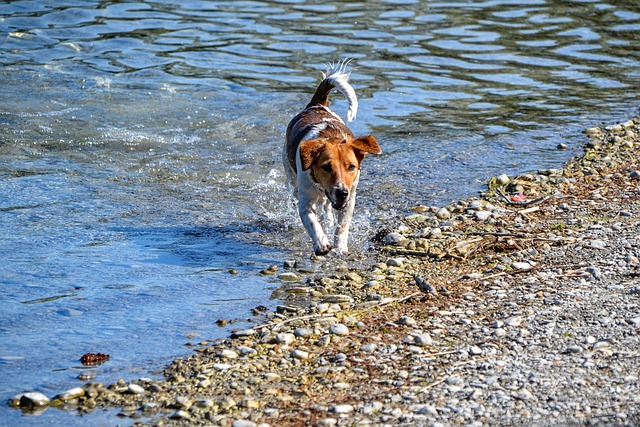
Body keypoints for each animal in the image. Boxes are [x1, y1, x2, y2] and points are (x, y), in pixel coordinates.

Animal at [284, 61, 380, 256]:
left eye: (351, 167)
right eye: (326, 167)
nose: (342, 192)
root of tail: (317, 105)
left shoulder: (350, 199)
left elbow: (342, 226)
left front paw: (340, 247)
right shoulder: (305, 201)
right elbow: (312, 222)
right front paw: (321, 243)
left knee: (327, 207)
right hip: (290, 173)